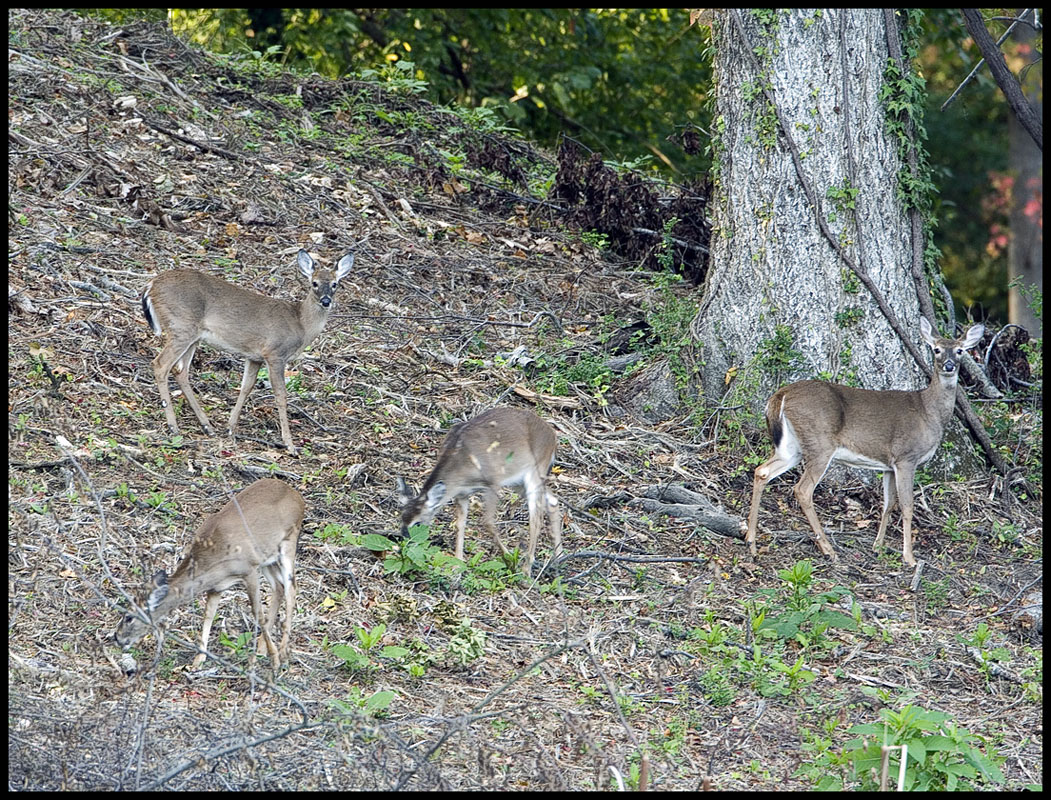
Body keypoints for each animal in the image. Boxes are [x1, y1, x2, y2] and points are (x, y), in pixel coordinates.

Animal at [114, 478, 304, 671]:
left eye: (129, 617)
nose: (117, 638)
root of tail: (297, 495)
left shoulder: (249, 569)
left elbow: (257, 612)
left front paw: (275, 660)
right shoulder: (216, 587)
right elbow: (208, 616)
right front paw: (198, 660)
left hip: (289, 541)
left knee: (291, 589)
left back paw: (282, 653)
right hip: (268, 559)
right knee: (279, 587)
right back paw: (261, 650)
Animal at [141, 249, 355, 455]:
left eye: (335, 284)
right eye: (314, 283)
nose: (326, 301)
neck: (300, 324)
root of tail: (151, 285)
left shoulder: (254, 357)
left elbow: (246, 387)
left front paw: (230, 428)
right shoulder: (275, 353)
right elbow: (281, 395)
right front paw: (290, 445)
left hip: (192, 336)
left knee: (180, 371)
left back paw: (207, 426)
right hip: (181, 326)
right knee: (160, 365)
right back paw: (173, 427)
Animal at [395, 407, 563, 577]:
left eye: (417, 523)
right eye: (401, 519)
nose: (405, 544)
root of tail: (553, 435)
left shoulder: (493, 481)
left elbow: (487, 521)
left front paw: (508, 557)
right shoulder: (462, 493)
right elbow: (460, 525)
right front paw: (457, 565)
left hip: (536, 470)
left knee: (536, 519)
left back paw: (526, 570)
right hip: (519, 481)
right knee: (553, 500)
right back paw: (559, 557)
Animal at [745, 318, 984, 566]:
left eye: (960, 350)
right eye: (936, 349)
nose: (949, 365)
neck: (930, 412)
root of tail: (780, 395)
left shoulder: (888, 465)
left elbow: (889, 504)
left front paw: (877, 546)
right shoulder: (906, 457)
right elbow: (907, 506)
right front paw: (909, 557)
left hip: (792, 447)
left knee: (762, 471)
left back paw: (751, 542)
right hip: (820, 444)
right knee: (802, 490)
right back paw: (828, 549)